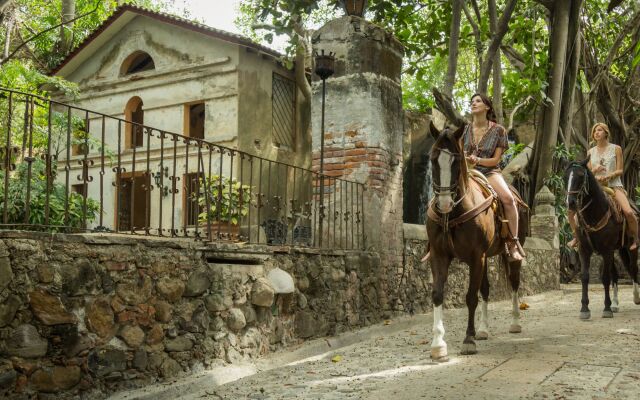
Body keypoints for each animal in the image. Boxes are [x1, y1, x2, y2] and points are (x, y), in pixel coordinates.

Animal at [428, 123, 528, 360]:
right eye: (433, 159)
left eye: (456, 162)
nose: (444, 203)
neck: (452, 214)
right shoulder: (439, 254)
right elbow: (438, 294)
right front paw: (438, 344)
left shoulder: (476, 256)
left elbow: (471, 297)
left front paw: (468, 340)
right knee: (486, 289)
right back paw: (483, 329)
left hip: (508, 253)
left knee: (514, 283)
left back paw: (515, 322)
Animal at [564, 158, 640, 318]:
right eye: (565, 177)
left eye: (581, 176)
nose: (571, 203)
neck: (595, 214)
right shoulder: (584, 250)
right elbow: (585, 276)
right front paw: (585, 309)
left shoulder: (606, 250)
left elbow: (605, 278)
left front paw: (606, 308)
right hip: (616, 250)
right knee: (615, 274)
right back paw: (615, 304)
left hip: (630, 247)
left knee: (633, 268)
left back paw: (636, 298)